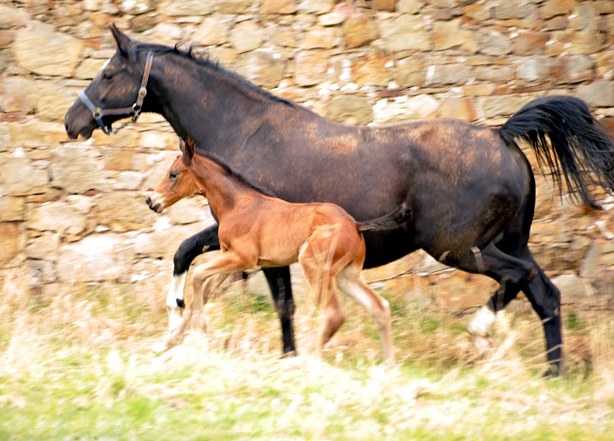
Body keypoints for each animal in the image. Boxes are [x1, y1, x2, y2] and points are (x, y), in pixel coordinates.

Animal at [149, 138, 412, 360]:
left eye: (173, 174)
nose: (151, 201)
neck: (237, 203)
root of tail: (355, 224)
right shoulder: (230, 257)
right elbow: (203, 290)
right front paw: (168, 341)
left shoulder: (243, 258)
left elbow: (197, 275)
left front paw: (199, 329)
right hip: (346, 275)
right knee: (379, 307)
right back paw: (389, 366)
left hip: (312, 265)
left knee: (334, 314)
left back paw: (307, 360)